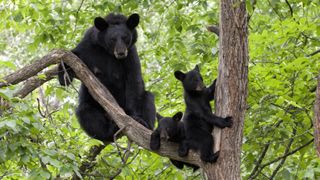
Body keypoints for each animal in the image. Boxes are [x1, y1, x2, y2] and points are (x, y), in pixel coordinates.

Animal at [59, 13, 158, 142]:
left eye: (125, 37)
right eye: (112, 39)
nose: (121, 52)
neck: (109, 52)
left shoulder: (131, 53)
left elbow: (133, 79)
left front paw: (136, 118)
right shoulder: (88, 45)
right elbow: (72, 55)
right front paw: (63, 77)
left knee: (148, 97)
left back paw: (145, 125)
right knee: (86, 111)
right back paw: (109, 131)